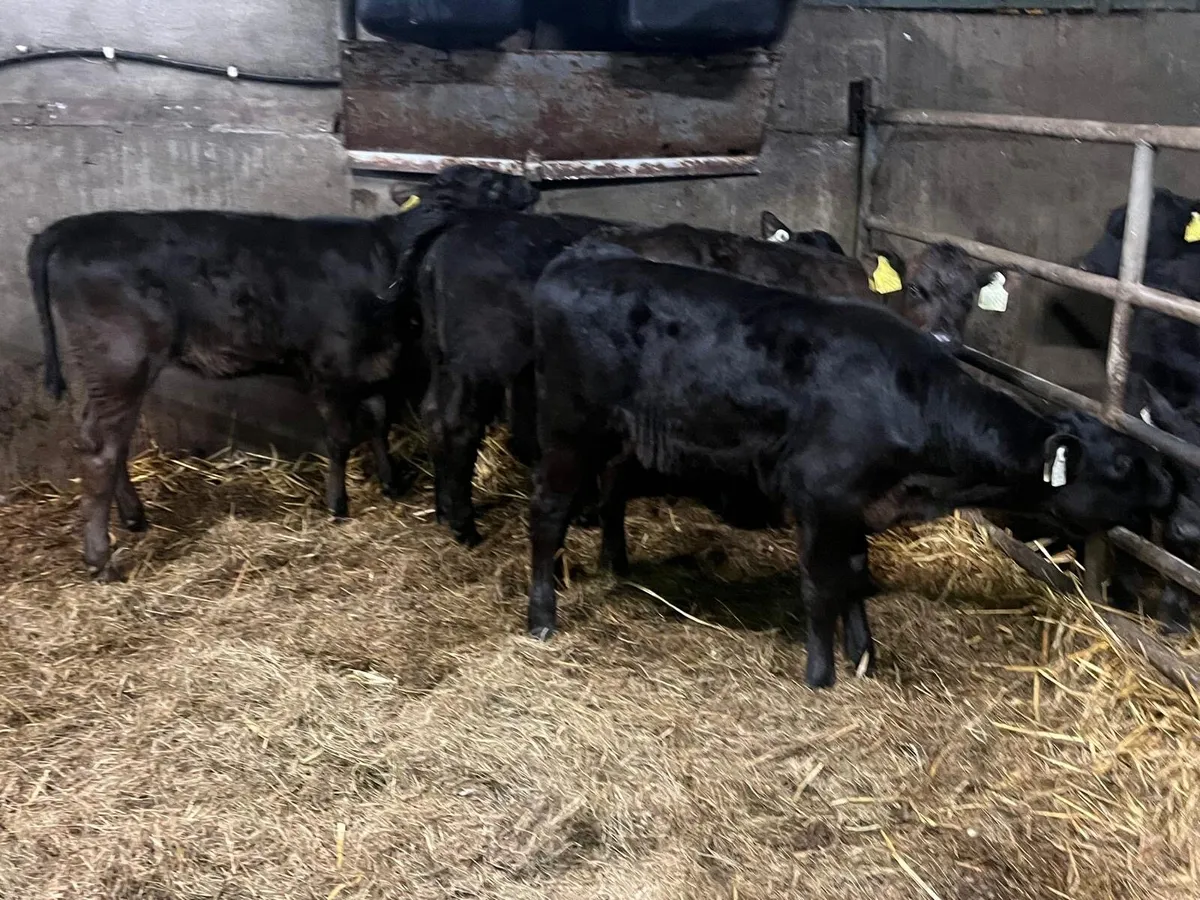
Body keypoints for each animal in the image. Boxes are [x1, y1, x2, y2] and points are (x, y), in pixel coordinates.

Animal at [29, 165, 538, 581]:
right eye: (490, 185)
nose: (532, 187)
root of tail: (69, 228)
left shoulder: (373, 363)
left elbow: (378, 420)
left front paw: (391, 483)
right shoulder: (330, 366)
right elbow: (339, 437)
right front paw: (338, 505)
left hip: (99, 369)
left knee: (107, 439)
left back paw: (133, 519)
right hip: (120, 360)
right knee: (101, 447)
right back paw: (101, 559)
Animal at [526, 242, 1174, 688]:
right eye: (1124, 463)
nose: (1171, 483)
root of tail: (577, 259)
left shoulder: (860, 506)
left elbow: (856, 578)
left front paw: (863, 654)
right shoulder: (819, 497)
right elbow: (820, 586)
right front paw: (821, 674)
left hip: (619, 440)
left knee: (610, 492)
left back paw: (616, 564)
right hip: (566, 432)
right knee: (548, 516)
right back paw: (541, 615)